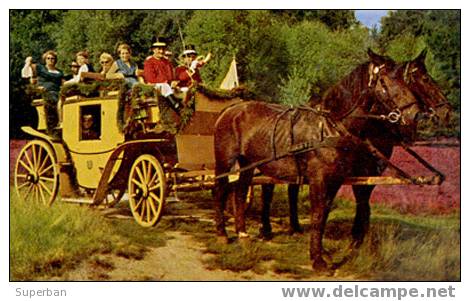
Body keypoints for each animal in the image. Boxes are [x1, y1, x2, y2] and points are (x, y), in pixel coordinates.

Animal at [213, 50, 422, 270]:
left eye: (404, 80)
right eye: (385, 81)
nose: (415, 114)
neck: (331, 127)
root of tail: (230, 110)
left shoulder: (335, 181)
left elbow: (324, 215)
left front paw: (322, 254)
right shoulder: (319, 180)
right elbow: (318, 215)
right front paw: (317, 259)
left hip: (247, 163)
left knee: (239, 193)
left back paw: (242, 235)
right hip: (225, 160)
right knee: (219, 191)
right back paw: (222, 234)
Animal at [260, 49, 456, 246]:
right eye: (425, 79)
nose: (447, 111)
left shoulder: (370, 171)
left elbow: (363, 199)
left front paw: (360, 235)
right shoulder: (354, 171)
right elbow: (357, 199)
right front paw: (356, 236)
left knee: (290, 189)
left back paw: (294, 227)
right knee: (267, 188)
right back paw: (266, 230)